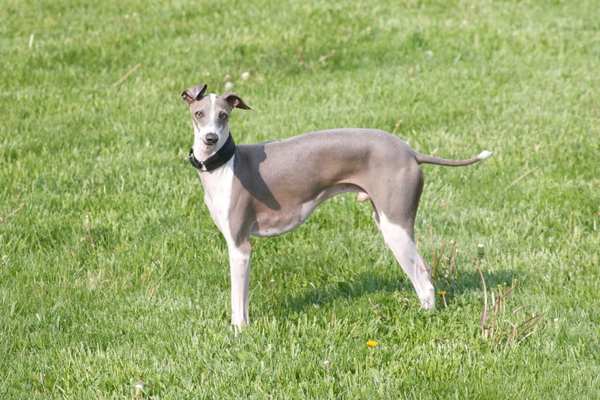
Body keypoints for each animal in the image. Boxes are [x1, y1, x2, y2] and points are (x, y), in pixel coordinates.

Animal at [180, 82, 490, 328]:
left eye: (223, 115)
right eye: (199, 114)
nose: (210, 139)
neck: (224, 166)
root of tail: (410, 152)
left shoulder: (240, 247)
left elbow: (238, 300)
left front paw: (239, 331)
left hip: (396, 226)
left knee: (424, 278)